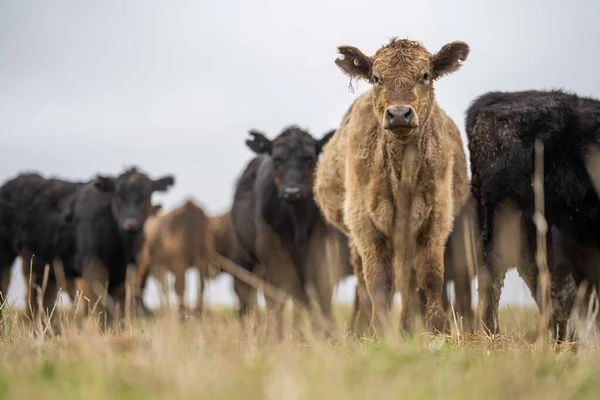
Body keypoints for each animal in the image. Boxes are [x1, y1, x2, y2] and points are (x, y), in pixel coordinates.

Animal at [232, 126, 350, 338]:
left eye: (309, 158)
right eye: (277, 159)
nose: (292, 192)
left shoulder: (324, 256)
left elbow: (322, 299)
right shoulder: (273, 260)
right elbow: (276, 302)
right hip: (245, 262)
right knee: (248, 300)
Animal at [316, 38, 472, 334]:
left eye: (425, 75)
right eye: (377, 78)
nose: (399, 114)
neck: (403, 179)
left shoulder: (437, 218)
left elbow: (431, 274)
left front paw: (436, 328)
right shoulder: (364, 224)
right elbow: (378, 279)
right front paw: (379, 330)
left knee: (408, 279)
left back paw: (406, 325)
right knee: (364, 281)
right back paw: (362, 326)